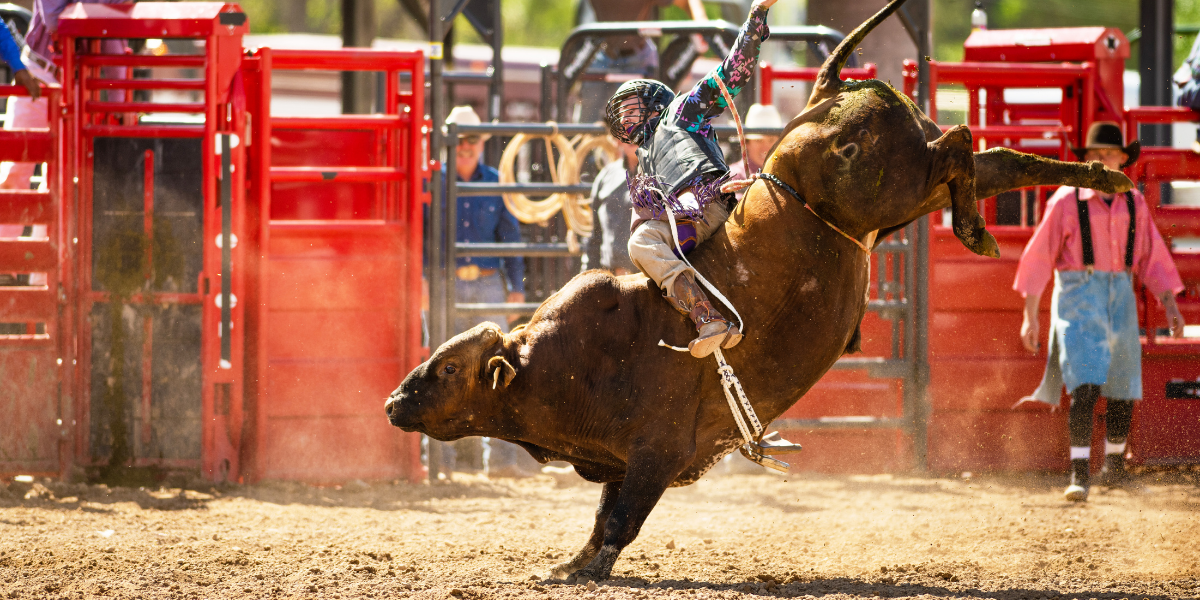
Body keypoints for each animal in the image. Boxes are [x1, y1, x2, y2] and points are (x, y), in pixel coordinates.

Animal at [386, 0, 1133, 582]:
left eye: (446, 369)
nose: (393, 401)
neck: (564, 362)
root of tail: (824, 97)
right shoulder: (623, 461)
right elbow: (603, 517)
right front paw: (570, 562)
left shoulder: (655, 453)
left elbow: (621, 521)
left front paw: (587, 568)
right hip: (905, 195)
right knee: (988, 157)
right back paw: (1102, 179)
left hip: (888, 184)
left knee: (958, 137)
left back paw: (980, 227)